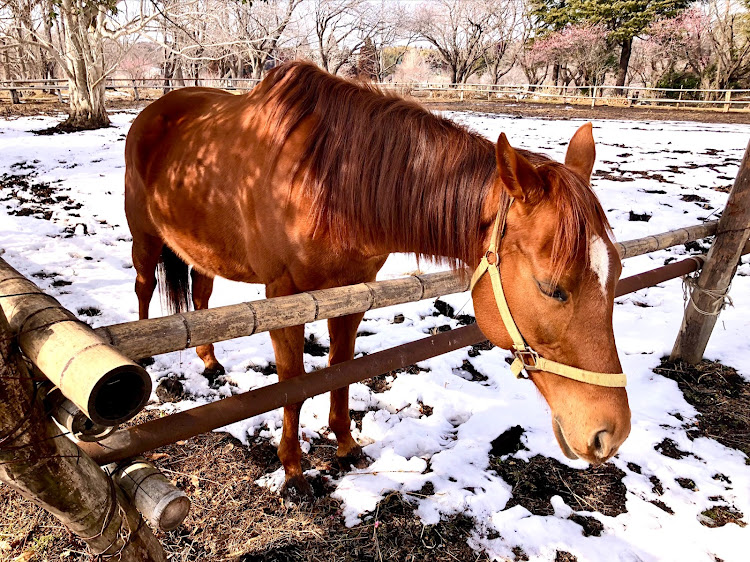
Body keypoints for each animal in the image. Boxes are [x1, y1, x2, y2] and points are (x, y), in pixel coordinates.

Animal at [126, 62, 632, 494]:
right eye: (552, 288)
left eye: (617, 273)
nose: (611, 434)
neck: (324, 183)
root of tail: (155, 110)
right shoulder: (283, 296)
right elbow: (293, 383)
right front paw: (293, 470)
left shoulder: (352, 295)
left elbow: (340, 370)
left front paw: (345, 446)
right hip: (146, 238)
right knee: (145, 287)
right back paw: (145, 359)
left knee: (202, 292)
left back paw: (210, 362)